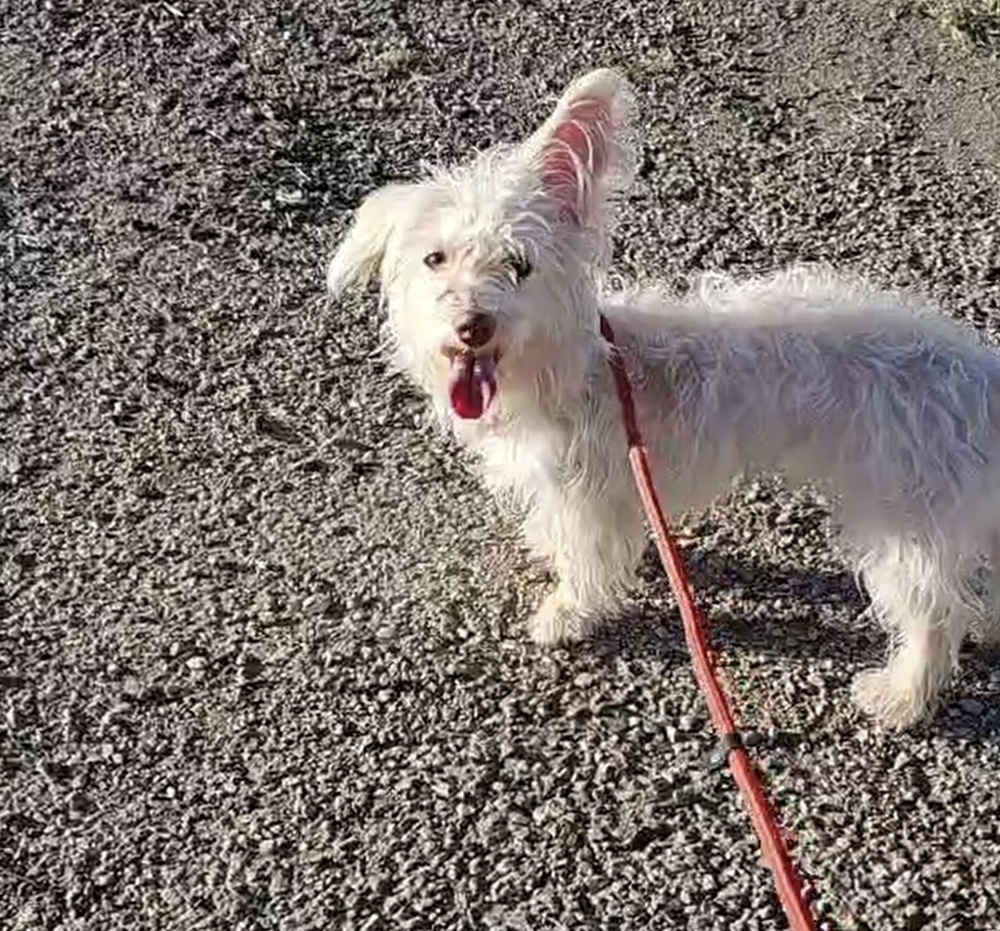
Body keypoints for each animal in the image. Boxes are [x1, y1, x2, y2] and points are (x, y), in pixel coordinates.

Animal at [330, 69, 1000, 732]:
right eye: (434, 258)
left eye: (519, 265)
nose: (473, 325)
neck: (581, 369)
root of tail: (979, 373)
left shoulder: (588, 495)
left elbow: (586, 563)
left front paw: (566, 615)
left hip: (906, 523)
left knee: (935, 616)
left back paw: (901, 698)